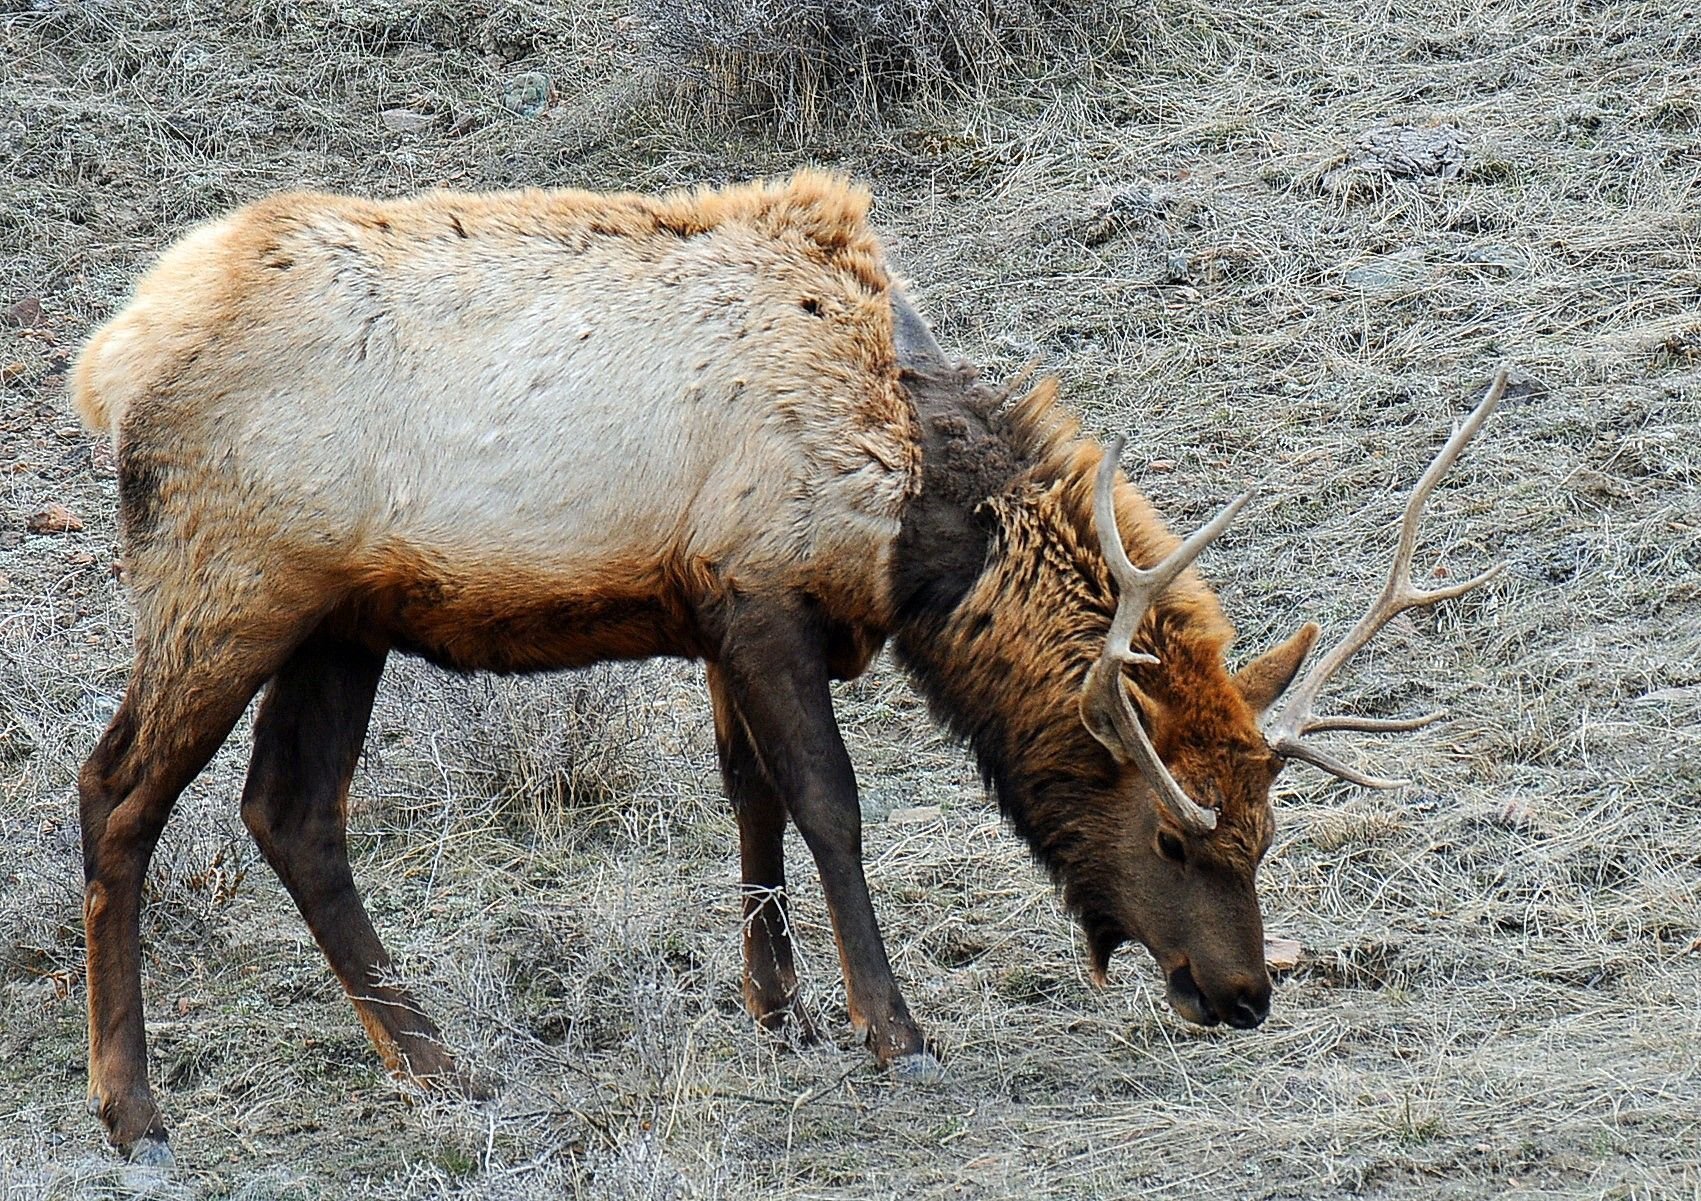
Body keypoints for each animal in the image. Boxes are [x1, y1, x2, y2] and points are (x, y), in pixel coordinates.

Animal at [69, 170, 1503, 1156]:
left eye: (1266, 832)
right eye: (1168, 835)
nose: (1244, 992)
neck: (917, 520)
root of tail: (109, 361)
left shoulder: (716, 609)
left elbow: (747, 794)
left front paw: (784, 1010)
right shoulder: (760, 589)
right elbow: (828, 805)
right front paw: (895, 1032)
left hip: (339, 622)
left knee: (292, 815)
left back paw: (436, 1063)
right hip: (229, 582)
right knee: (116, 794)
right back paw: (134, 1109)